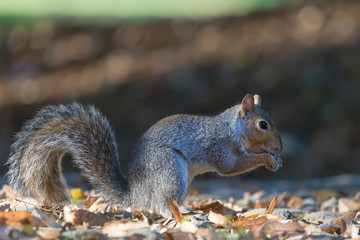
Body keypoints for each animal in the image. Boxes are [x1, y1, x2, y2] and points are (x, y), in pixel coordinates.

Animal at [4, 93, 282, 216]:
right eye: (263, 125)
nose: (279, 147)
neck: (232, 129)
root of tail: (135, 195)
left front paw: (274, 159)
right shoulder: (220, 146)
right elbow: (231, 166)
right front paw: (266, 158)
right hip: (169, 168)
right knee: (161, 205)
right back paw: (182, 215)